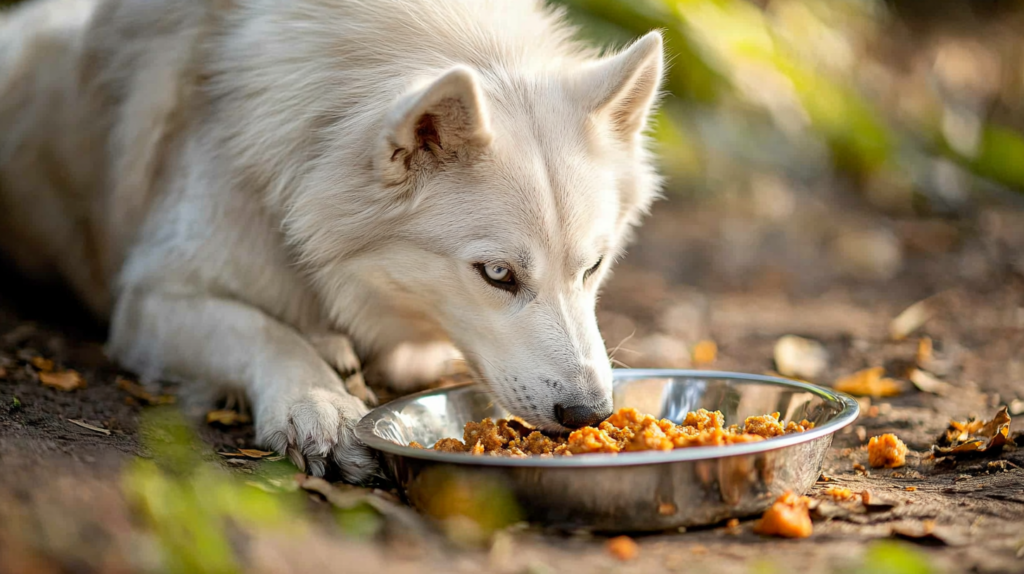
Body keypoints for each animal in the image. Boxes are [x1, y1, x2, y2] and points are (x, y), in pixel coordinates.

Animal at [0, 0, 663, 480]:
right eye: (497, 274)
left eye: (593, 266)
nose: (590, 414)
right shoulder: (150, 300)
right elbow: (265, 331)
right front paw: (316, 401)